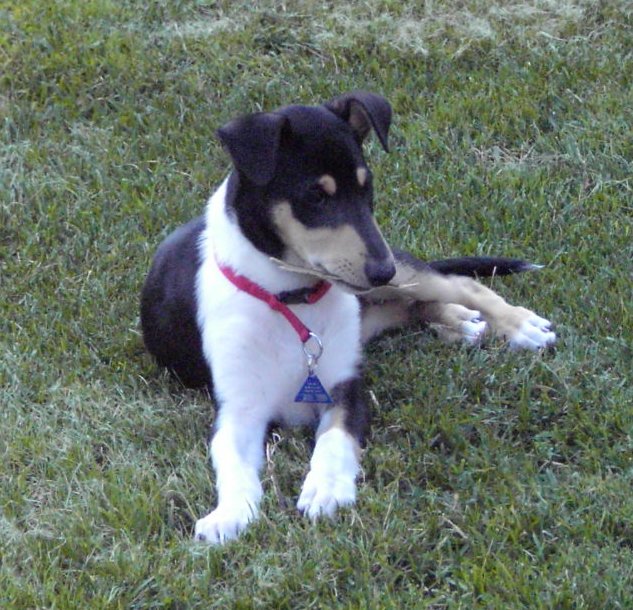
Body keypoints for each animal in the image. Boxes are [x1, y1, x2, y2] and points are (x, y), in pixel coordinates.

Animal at [141, 90, 556, 540]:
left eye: (366, 186)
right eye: (316, 196)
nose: (382, 270)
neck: (293, 301)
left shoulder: (345, 388)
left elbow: (335, 442)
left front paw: (325, 490)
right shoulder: (238, 409)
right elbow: (231, 463)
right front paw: (229, 515)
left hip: (405, 275)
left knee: (461, 285)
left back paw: (516, 325)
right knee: (408, 306)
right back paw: (460, 323)